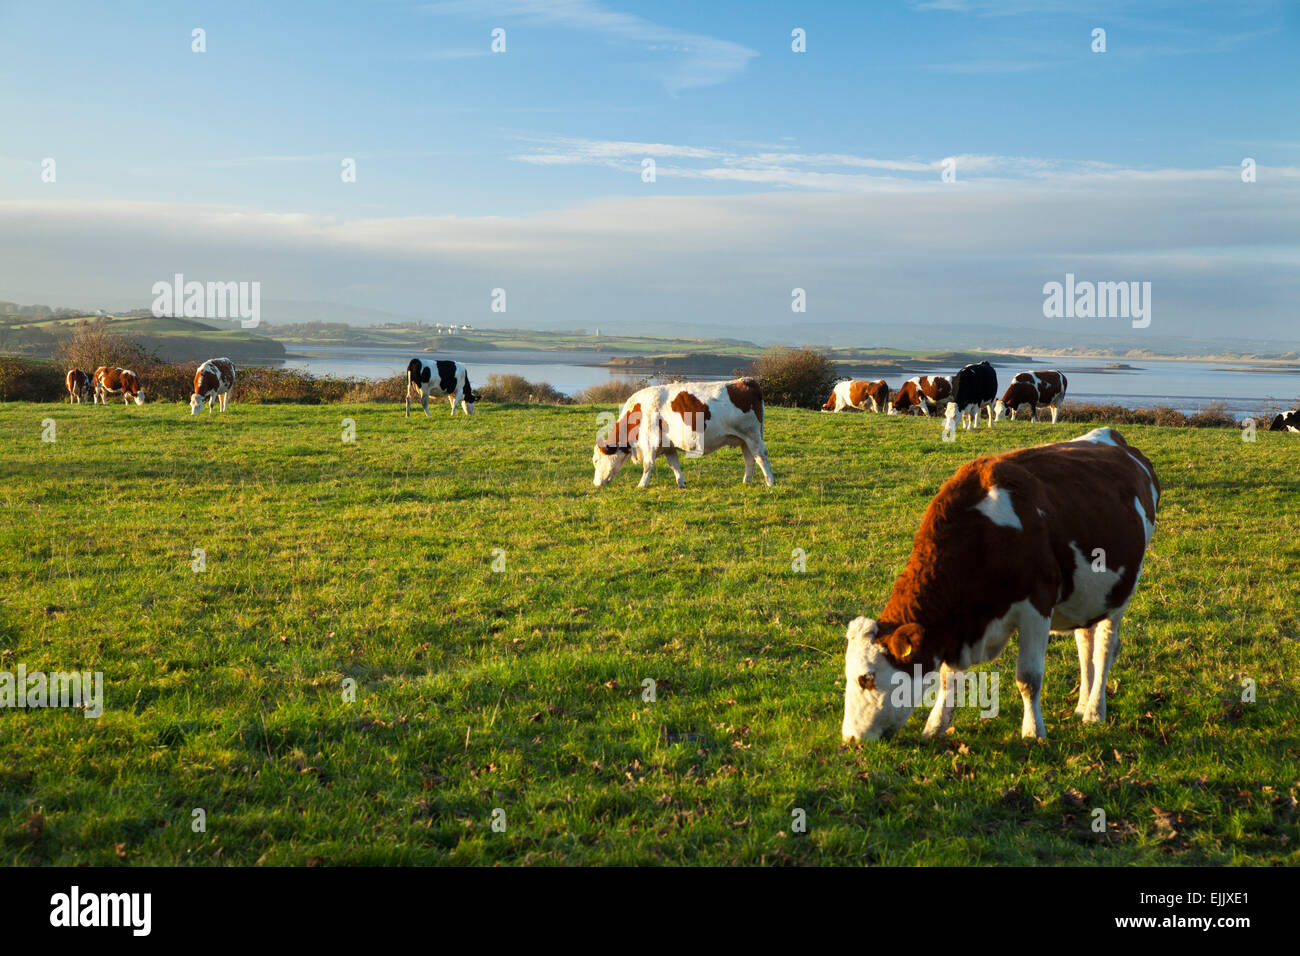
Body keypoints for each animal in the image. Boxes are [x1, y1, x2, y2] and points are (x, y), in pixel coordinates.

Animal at [595, 377, 769, 489]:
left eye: (596, 461)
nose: (595, 484)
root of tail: (746, 381)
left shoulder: (649, 442)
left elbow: (647, 465)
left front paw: (642, 485)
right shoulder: (668, 446)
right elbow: (674, 465)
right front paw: (681, 483)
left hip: (752, 436)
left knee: (761, 456)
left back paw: (770, 482)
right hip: (744, 440)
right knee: (750, 459)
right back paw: (746, 481)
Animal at [837, 429, 1164, 749]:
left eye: (866, 678)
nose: (851, 738)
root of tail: (1117, 439)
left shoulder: (1037, 606)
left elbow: (1028, 677)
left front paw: (1033, 732)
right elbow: (947, 678)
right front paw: (935, 727)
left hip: (1120, 593)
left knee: (1105, 648)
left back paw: (1095, 711)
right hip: (1087, 597)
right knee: (1086, 645)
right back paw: (1083, 705)